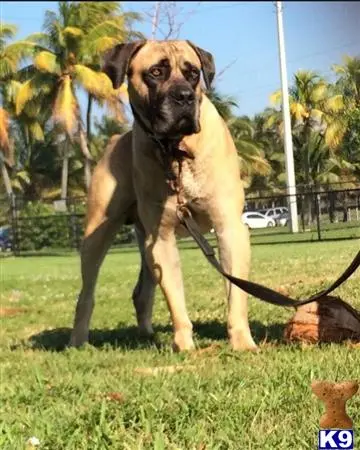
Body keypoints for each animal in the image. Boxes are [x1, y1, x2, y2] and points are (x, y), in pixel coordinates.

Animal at [69, 40, 258, 352]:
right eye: (156, 72)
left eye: (193, 73)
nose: (184, 97)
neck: (176, 152)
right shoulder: (162, 239)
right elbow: (175, 299)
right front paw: (184, 345)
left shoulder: (229, 229)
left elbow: (236, 294)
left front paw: (241, 341)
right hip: (98, 236)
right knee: (86, 294)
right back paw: (78, 342)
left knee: (141, 292)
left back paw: (147, 335)